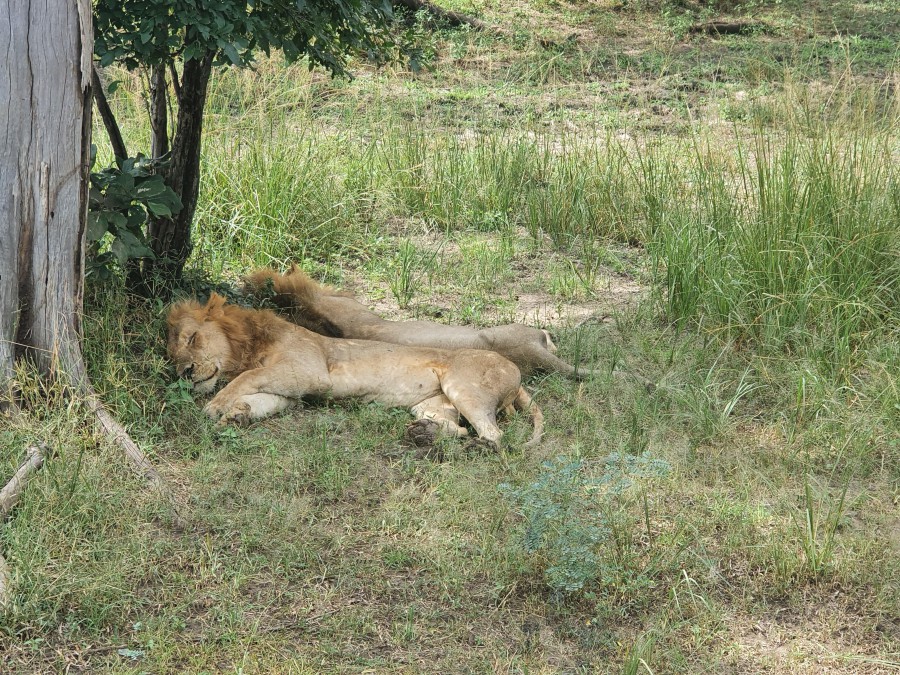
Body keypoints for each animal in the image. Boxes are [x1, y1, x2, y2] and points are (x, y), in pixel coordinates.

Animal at [167, 292, 540, 446]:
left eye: (192, 338)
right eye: (172, 354)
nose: (184, 373)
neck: (249, 346)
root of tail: (514, 369)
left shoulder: (309, 372)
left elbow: (248, 378)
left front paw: (216, 406)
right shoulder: (294, 392)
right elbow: (262, 399)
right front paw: (237, 414)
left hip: (464, 387)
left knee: (494, 436)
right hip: (432, 404)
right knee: (460, 430)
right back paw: (424, 435)